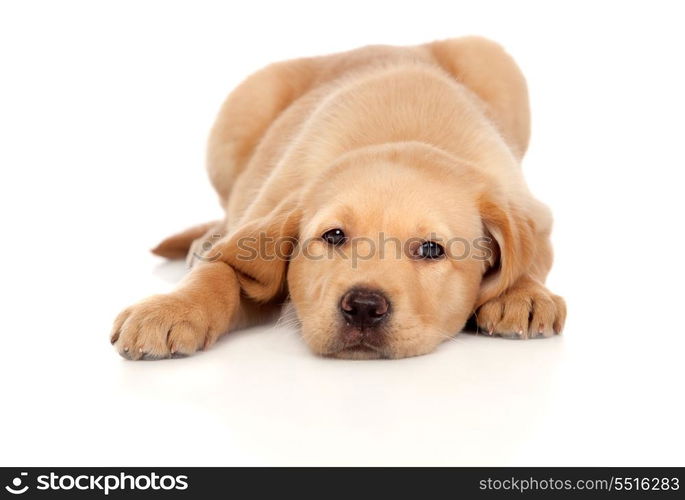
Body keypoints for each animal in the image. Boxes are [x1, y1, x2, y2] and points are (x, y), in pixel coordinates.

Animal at [109, 37, 564, 362]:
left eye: (432, 249)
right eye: (333, 236)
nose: (362, 306)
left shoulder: (531, 210)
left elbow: (531, 253)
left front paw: (522, 294)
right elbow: (219, 270)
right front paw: (172, 309)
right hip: (240, 111)